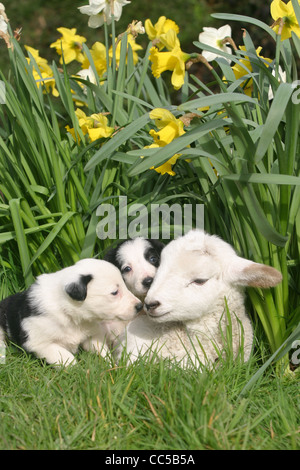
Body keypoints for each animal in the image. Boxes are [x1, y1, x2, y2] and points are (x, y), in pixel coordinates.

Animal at [0, 258, 142, 366]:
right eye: (114, 292)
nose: (139, 306)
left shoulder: (92, 335)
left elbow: (102, 350)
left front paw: (111, 366)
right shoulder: (39, 343)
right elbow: (65, 357)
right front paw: (77, 371)